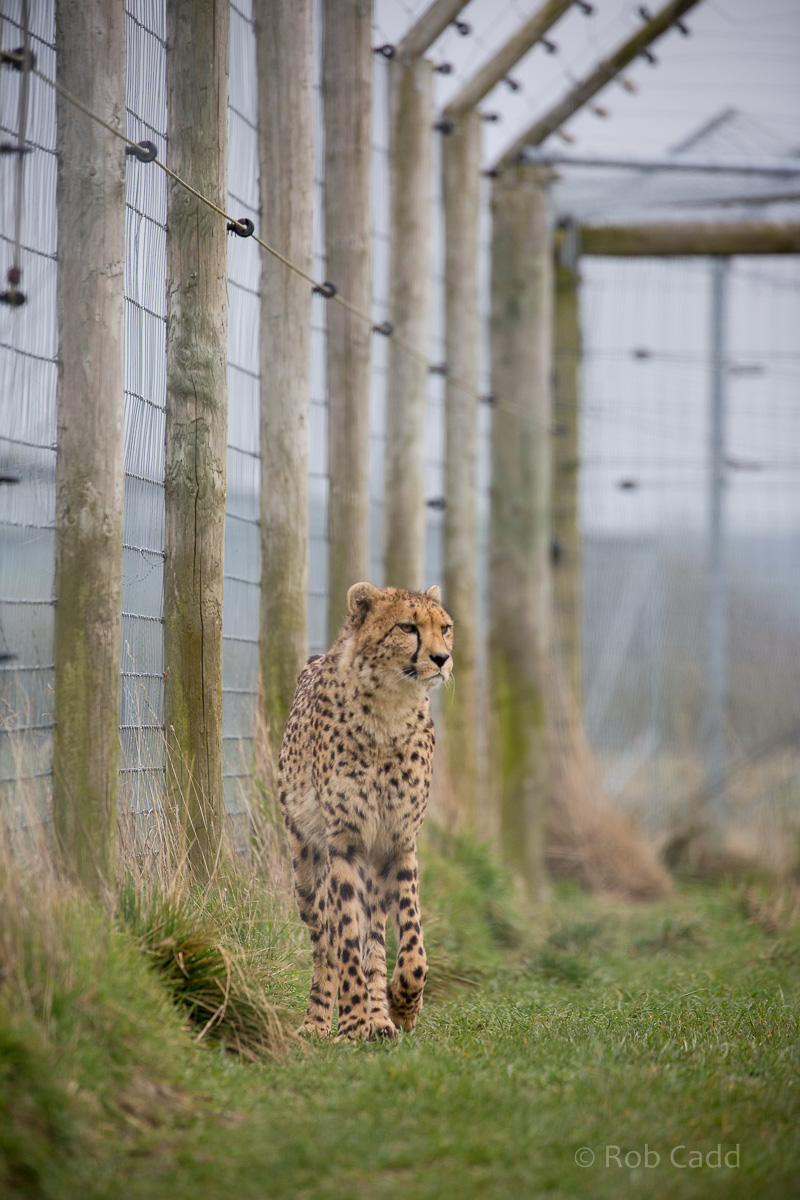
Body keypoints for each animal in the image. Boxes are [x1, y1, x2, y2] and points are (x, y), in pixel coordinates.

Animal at [278, 582, 453, 1041]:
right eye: (408, 627)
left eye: (445, 628)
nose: (442, 659)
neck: (389, 710)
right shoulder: (346, 842)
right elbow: (343, 940)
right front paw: (353, 1020)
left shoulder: (399, 841)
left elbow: (411, 941)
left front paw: (402, 1005)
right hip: (305, 865)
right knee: (323, 945)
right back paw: (321, 1020)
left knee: (373, 937)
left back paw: (380, 1016)